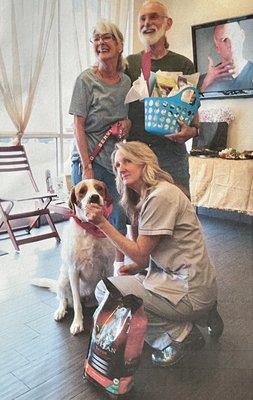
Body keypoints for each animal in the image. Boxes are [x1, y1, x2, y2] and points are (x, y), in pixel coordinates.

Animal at [31, 178, 113, 334]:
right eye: (82, 191)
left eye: (99, 188)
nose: (94, 197)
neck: (90, 229)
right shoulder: (74, 271)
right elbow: (76, 303)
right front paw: (77, 323)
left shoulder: (108, 268)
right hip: (63, 279)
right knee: (63, 299)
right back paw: (60, 311)